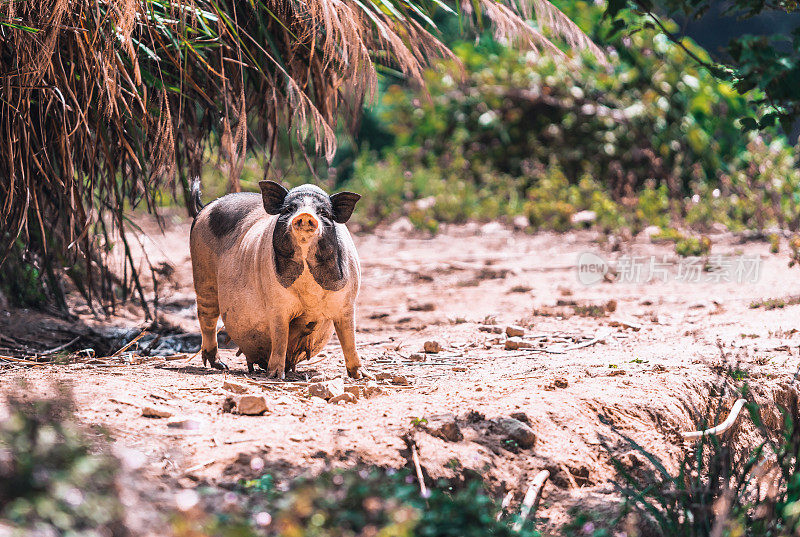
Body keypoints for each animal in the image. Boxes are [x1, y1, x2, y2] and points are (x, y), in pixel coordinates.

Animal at [191, 178, 368, 378]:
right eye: (289, 209)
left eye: (323, 212)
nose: (305, 215)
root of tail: (206, 206)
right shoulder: (276, 304)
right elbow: (280, 338)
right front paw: (275, 376)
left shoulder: (348, 303)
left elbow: (349, 339)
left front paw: (361, 376)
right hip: (202, 273)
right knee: (207, 317)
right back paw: (221, 366)